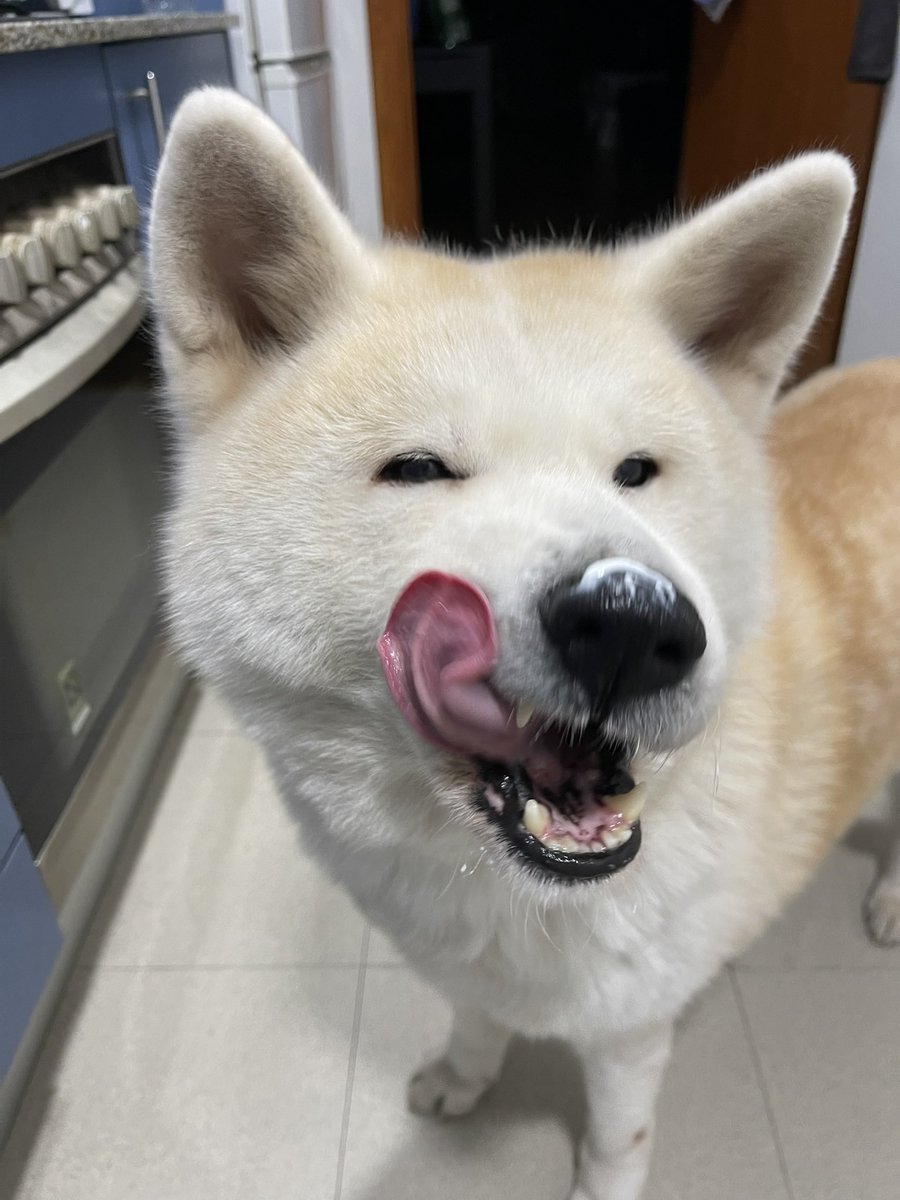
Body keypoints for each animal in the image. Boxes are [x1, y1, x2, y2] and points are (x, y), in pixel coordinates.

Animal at [150, 87, 900, 1200]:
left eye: (637, 472)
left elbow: (614, 1146)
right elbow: (475, 1021)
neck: (508, 894)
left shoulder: (631, 1033)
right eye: (420, 469)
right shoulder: (463, 966)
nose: (633, 621)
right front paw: (466, 1075)